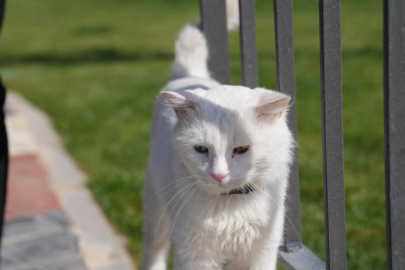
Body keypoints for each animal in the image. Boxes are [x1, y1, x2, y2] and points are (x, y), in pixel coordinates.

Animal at [140, 1, 292, 268]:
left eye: (241, 150)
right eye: (201, 149)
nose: (219, 175)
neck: (230, 203)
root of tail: (190, 74)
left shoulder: (260, 252)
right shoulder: (195, 255)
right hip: (156, 212)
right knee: (154, 251)